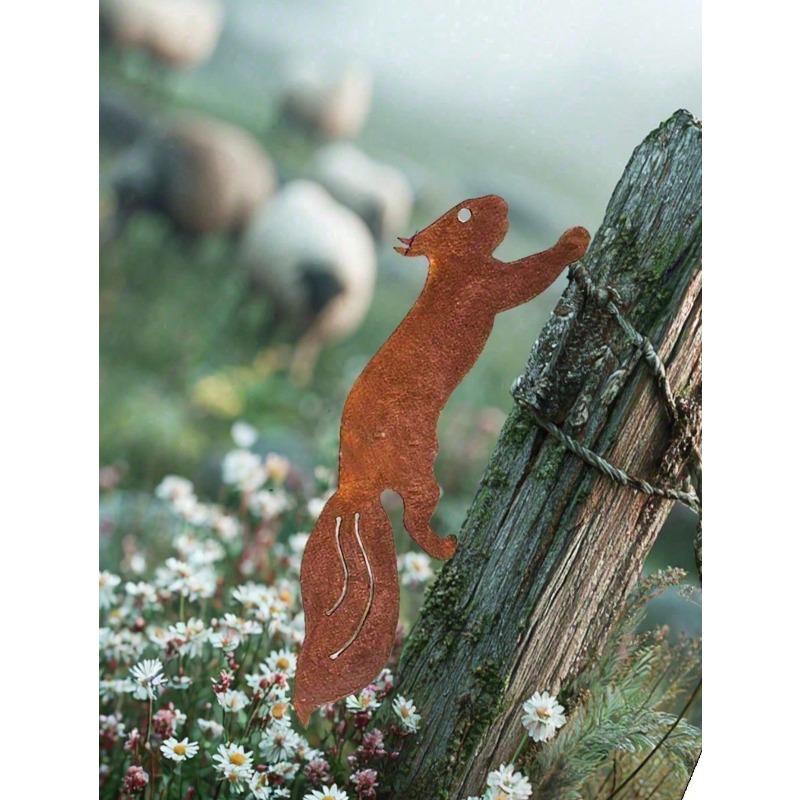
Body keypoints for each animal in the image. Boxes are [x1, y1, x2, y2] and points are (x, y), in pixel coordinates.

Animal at [294, 195, 590, 724]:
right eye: (465, 214)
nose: (502, 202)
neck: (449, 267)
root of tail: (354, 487)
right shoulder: (488, 284)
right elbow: (528, 276)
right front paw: (574, 241)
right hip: (420, 476)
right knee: (415, 520)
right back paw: (447, 546)